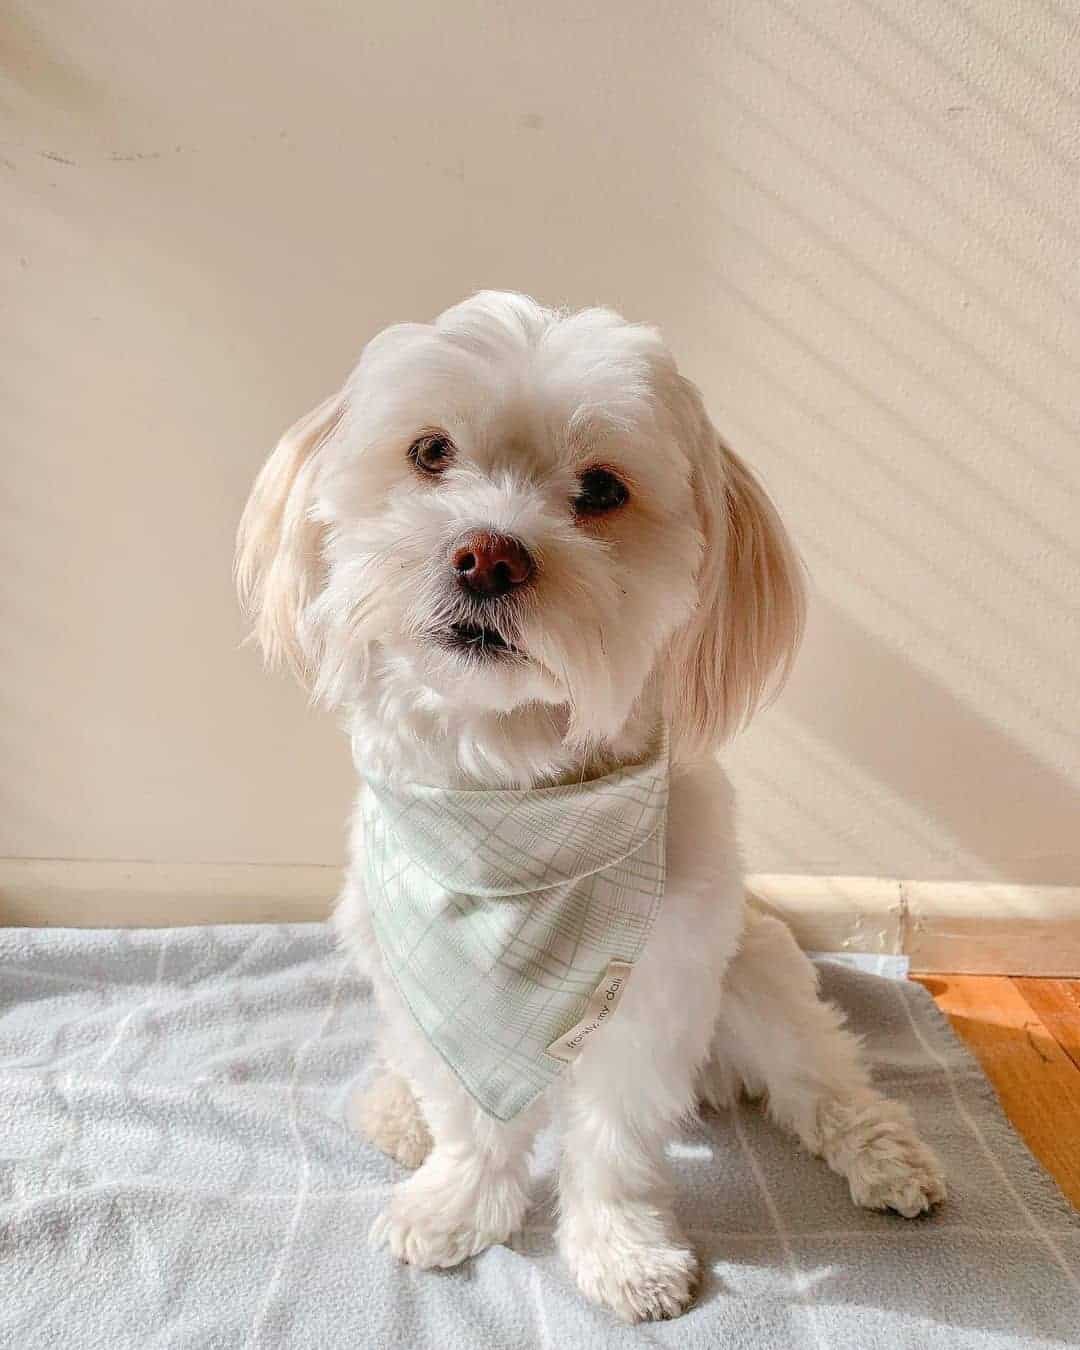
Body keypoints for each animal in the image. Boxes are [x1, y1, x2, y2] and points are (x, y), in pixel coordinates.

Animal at [233, 292, 934, 1317]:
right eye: (430, 451)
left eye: (602, 489)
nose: (486, 555)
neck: (507, 801)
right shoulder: (437, 989)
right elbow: (466, 1115)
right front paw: (458, 1202)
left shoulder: (650, 994)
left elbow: (614, 1142)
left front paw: (623, 1252)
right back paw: (395, 1105)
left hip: (757, 975)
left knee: (821, 1072)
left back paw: (883, 1153)